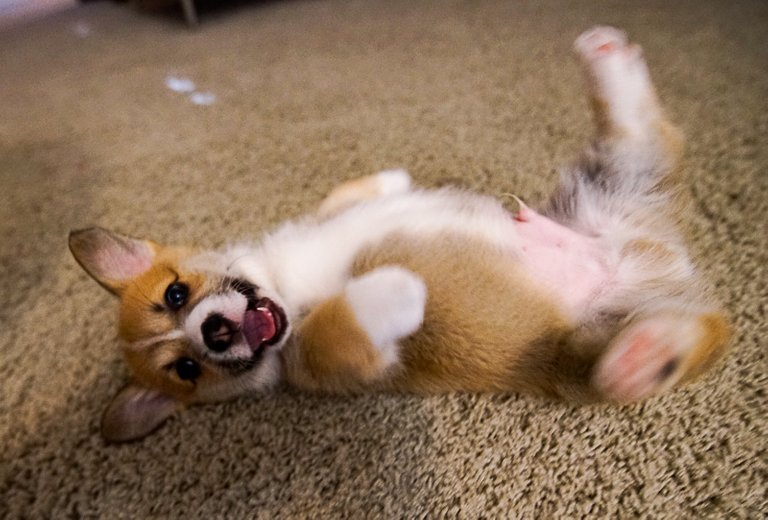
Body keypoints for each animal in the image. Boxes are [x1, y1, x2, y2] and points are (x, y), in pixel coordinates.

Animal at [69, 27, 728, 442]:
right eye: (186, 369)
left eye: (175, 294)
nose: (216, 332)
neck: (283, 284)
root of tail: (654, 255)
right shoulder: (334, 362)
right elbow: (340, 326)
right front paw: (395, 289)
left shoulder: (318, 219)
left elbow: (347, 195)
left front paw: (391, 180)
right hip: (576, 351)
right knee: (675, 348)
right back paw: (646, 355)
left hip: (612, 179)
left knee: (645, 132)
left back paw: (607, 56)